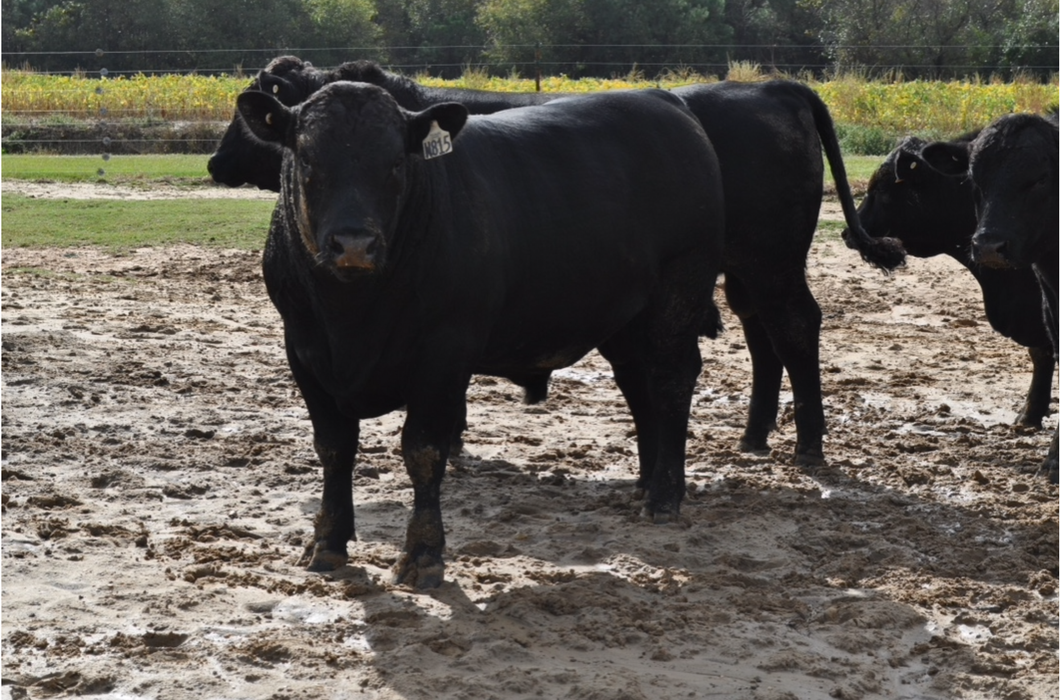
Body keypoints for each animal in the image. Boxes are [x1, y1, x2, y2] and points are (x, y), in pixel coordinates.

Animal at [210, 57, 904, 466]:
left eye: (246, 121)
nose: (214, 163)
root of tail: (771, 86)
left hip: (770, 260)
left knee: (796, 328)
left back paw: (808, 445)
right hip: (744, 270)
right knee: (765, 338)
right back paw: (755, 436)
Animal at [236, 81, 726, 587]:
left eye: (396, 162)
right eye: (307, 159)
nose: (354, 244)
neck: (350, 318)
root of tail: (660, 98)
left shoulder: (444, 352)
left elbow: (424, 451)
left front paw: (423, 554)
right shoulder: (304, 350)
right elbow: (334, 448)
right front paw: (328, 543)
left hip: (681, 288)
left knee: (672, 382)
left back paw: (664, 495)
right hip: (626, 317)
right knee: (638, 385)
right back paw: (645, 484)